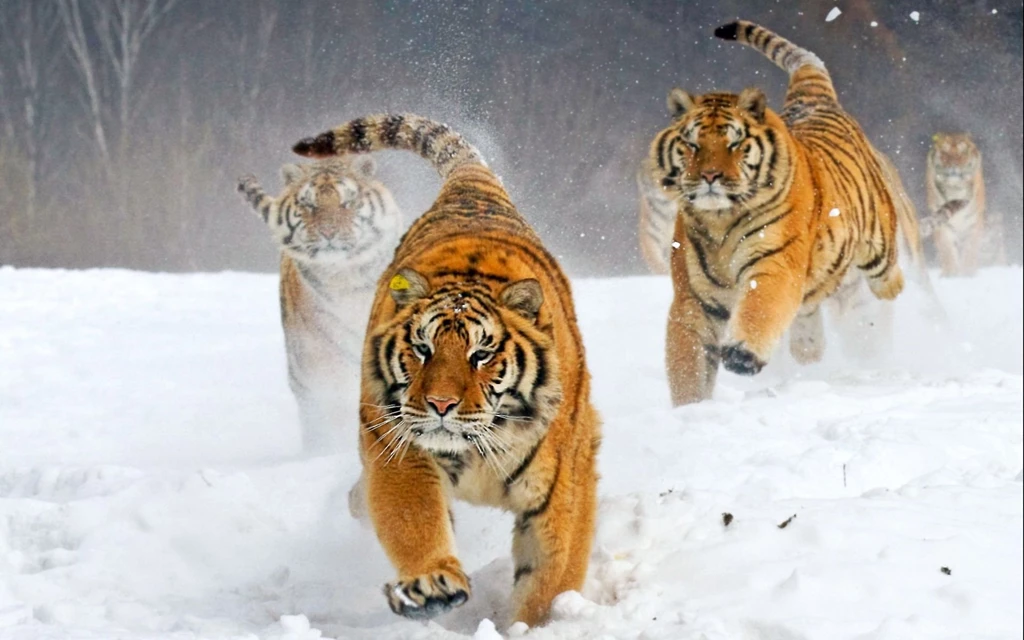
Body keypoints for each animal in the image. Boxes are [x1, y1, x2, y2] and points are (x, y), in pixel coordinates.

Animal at [292, 114, 601, 627]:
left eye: (481, 354)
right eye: (422, 349)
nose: (440, 404)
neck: (481, 448)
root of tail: (470, 189)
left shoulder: (563, 485)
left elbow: (549, 575)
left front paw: (535, 624)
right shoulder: (400, 451)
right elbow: (414, 521)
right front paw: (431, 586)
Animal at [648, 20, 909, 406]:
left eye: (734, 143)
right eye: (692, 144)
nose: (710, 176)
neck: (720, 220)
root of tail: (814, 99)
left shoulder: (775, 263)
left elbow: (760, 307)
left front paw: (741, 355)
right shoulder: (692, 297)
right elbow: (687, 364)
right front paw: (690, 410)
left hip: (876, 240)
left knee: (885, 276)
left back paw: (888, 293)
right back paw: (808, 347)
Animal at [924, 132, 1003, 275]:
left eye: (963, 151)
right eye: (945, 151)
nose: (954, 164)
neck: (955, 188)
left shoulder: (974, 223)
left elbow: (969, 252)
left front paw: (967, 274)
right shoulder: (943, 222)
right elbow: (948, 252)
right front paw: (951, 275)